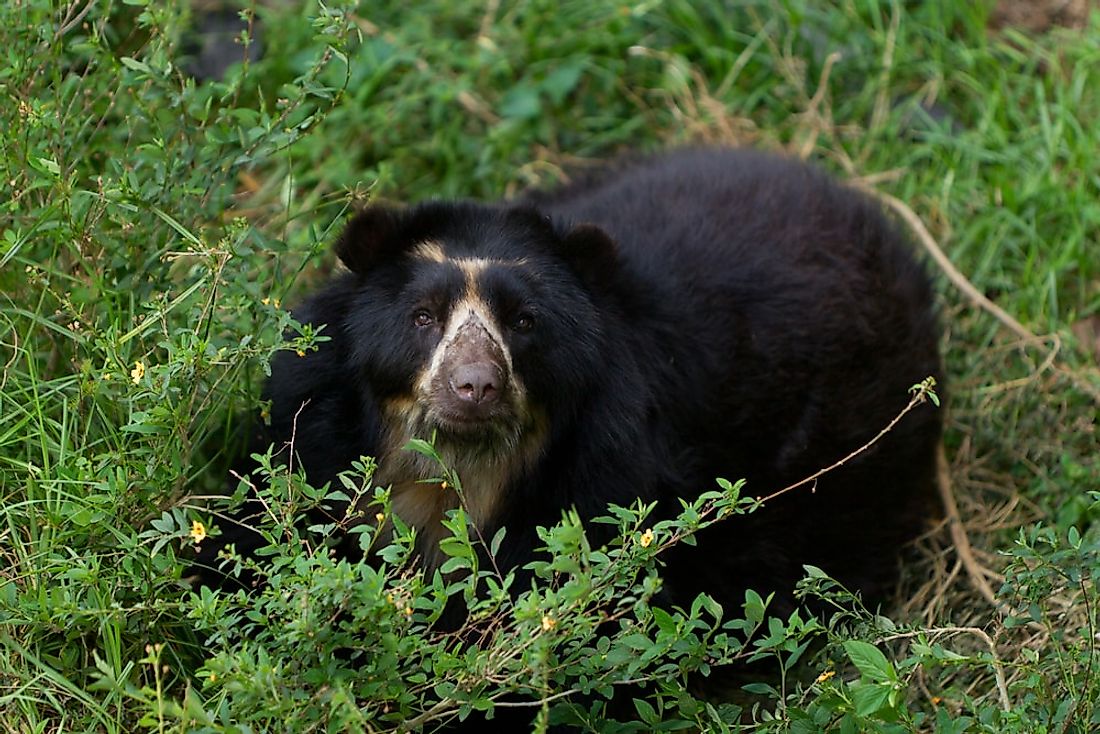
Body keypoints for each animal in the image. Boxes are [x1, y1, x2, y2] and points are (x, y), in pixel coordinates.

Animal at [202, 146, 941, 629]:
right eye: (423, 317)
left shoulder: (605, 474)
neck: (454, 473)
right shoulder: (310, 423)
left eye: (524, 321)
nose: (475, 386)